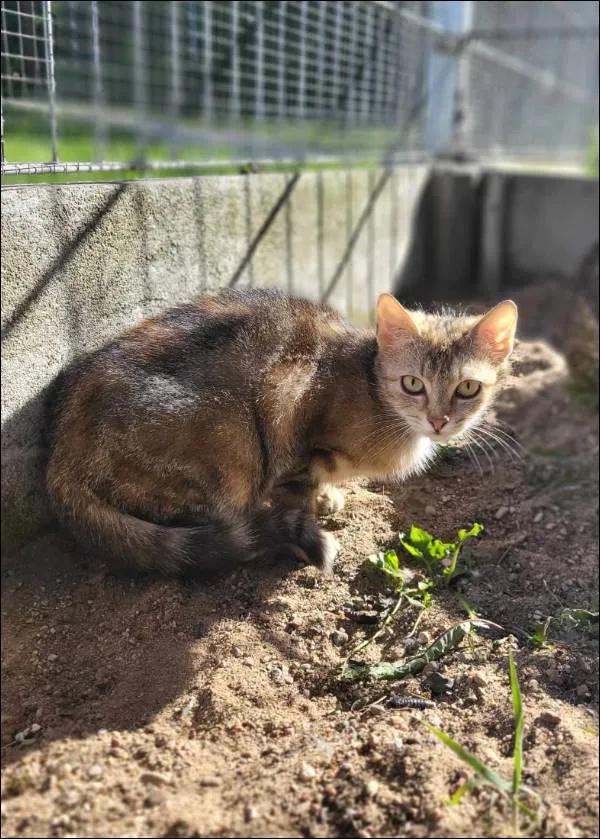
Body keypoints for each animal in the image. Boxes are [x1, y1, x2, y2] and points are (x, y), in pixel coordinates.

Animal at [45, 290, 516, 576]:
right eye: (413, 383)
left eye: (467, 389)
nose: (439, 421)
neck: (370, 387)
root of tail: (60, 463)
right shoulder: (289, 406)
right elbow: (297, 491)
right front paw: (308, 521)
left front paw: (329, 497)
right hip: (230, 441)